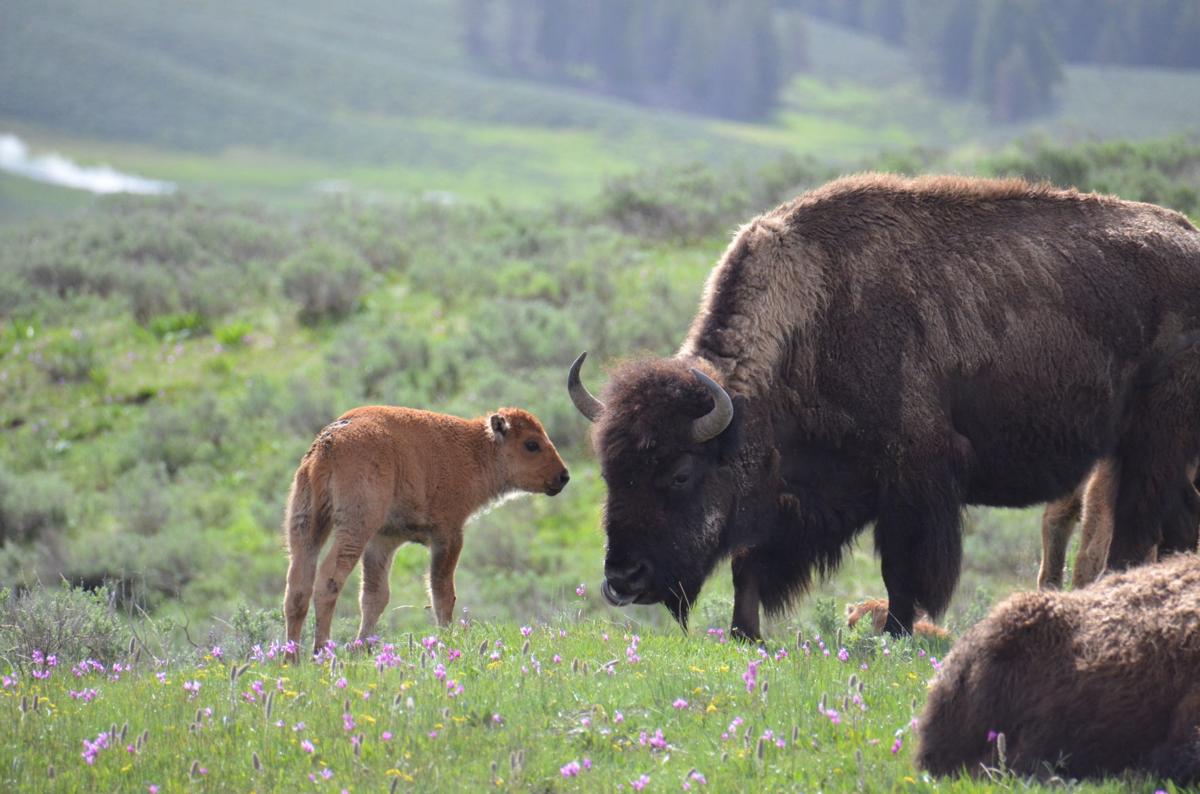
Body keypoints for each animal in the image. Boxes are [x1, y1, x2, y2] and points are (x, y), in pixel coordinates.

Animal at [280, 407, 566, 662]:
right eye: (531, 444)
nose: (563, 476)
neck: (476, 449)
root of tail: (328, 444)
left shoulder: (383, 541)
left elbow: (375, 596)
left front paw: (363, 648)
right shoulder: (448, 536)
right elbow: (442, 592)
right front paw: (447, 640)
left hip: (306, 524)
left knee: (298, 586)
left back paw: (291, 658)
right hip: (353, 529)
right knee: (327, 580)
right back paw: (320, 652)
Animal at [566, 173, 1200, 642]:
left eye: (680, 473)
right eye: (609, 473)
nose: (622, 578)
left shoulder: (912, 485)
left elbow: (902, 571)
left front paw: (894, 634)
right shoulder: (810, 493)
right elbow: (751, 563)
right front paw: (747, 635)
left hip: (1151, 445)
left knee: (1134, 532)